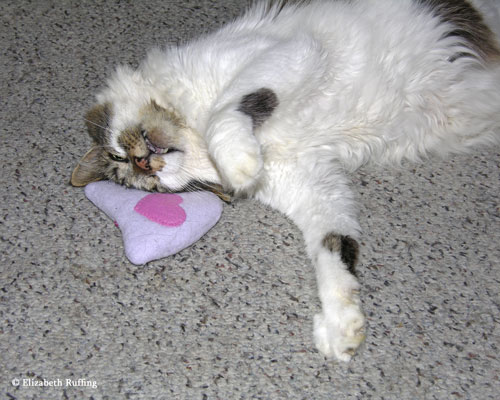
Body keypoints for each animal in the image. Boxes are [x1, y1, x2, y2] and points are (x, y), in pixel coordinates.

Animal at [73, 0, 500, 362]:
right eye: (152, 188)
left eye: (119, 154)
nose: (145, 164)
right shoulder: (314, 184)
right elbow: (335, 247)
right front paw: (342, 326)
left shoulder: (290, 50)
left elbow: (230, 108)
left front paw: (238, 160)